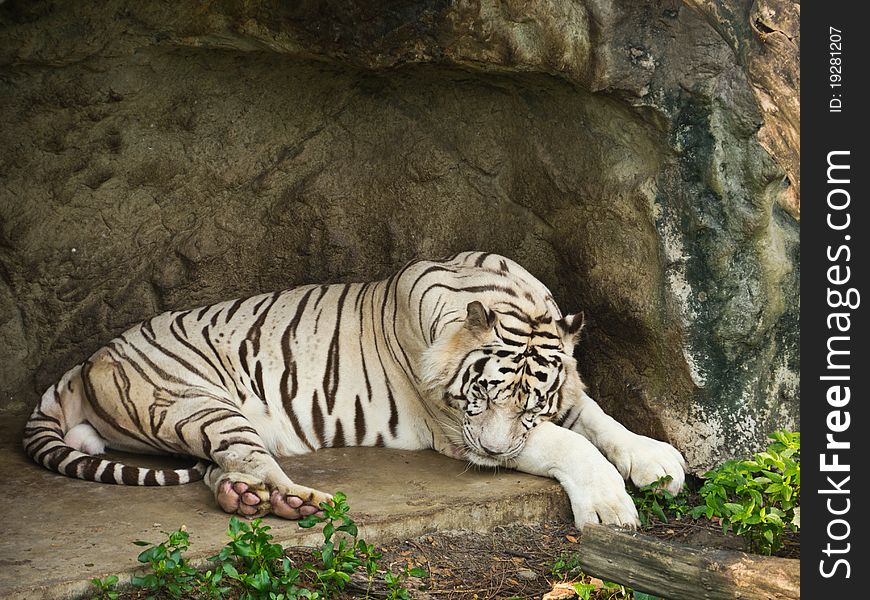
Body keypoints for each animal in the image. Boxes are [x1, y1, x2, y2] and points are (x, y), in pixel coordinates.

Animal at [22, 251, 688, 528]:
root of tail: (89, 359)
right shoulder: (460, 433)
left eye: (532, 402)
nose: (497, 453)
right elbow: (570, 444)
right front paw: (610, 508)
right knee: (251, 463)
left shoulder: (559, 397)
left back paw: (248, 502)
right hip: (199, 403)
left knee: (223, 472)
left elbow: (597, 418)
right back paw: (301, 503)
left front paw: (658, 462)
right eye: (484, 395)